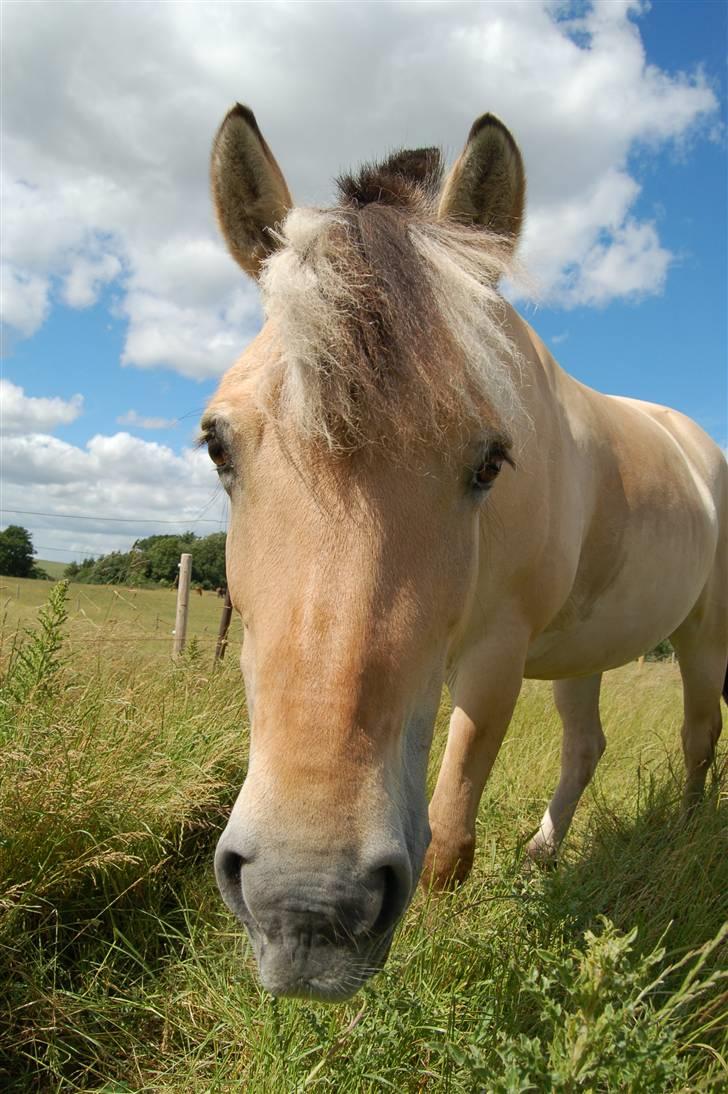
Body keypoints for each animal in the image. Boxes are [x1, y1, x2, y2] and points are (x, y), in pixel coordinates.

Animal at [200, 102, 726, 1002]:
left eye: (489, 462)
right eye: (217, 446)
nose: (305, 906)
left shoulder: (495, 658)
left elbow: (447, 831)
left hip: (702, 633)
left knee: (700, 733)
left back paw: (685, 834)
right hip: (584, 651)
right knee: (587, 748)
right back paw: (544, 855)